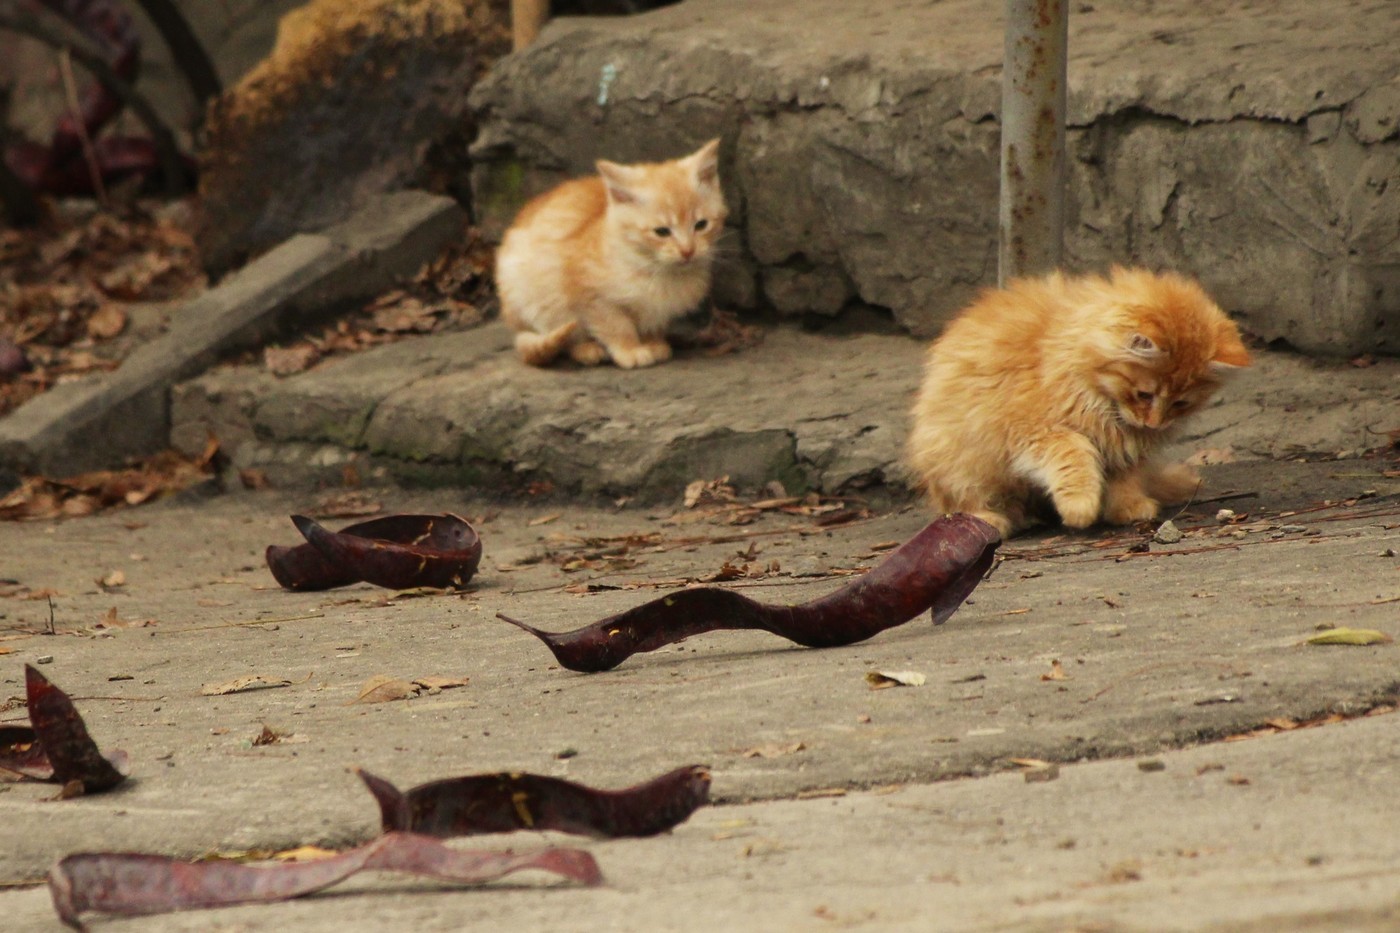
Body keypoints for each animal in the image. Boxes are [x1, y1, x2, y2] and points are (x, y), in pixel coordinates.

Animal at [492, 137, 728, 367]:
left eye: (701, 225)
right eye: (661, 232)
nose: (688, 251)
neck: (653, 268)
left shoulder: (660, 309)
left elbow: (653, 322)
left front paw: (654, 342)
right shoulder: (589, 296)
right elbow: (616, 325)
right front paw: (630, 350)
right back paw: (586, 349)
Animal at [912, 264, 1254, 535]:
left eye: (1180, 403)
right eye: (1144, 394)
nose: (1153, 424)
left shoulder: (1126, 449)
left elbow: (1126, 479)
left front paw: (1127, 508)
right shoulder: (1037, 431)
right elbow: (1074, 456)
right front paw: (1080, 507)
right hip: (958, 462)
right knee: (964, 501)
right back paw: (990, 519)